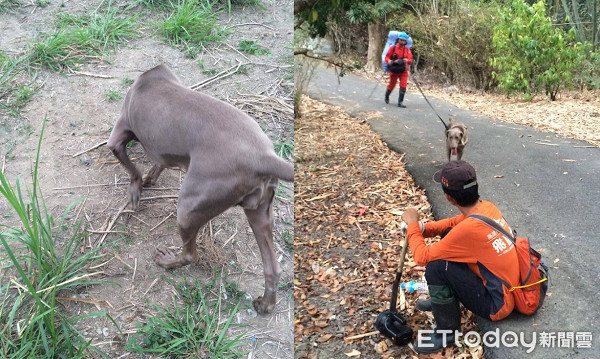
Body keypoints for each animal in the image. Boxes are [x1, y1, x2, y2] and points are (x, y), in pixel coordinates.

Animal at [109, 64, 296, 316]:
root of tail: (264, 156)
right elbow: (159, 163)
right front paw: (150, 178)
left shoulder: (117, 136)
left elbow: (132, 168)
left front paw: (135, 190)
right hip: (259, 211)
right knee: (273, 268)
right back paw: (266, 304)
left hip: (188, 208)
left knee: (191, 255)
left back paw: (167, 261)